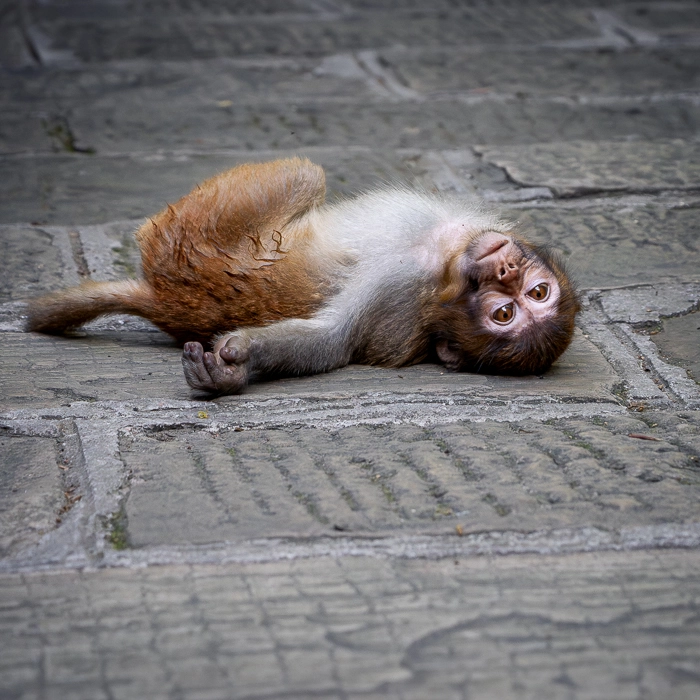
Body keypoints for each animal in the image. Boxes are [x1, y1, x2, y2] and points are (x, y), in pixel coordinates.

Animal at [26, 157, 580, 395]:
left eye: (505, 314)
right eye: (529, 295)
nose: (507, 268)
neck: (444, 269)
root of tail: (161, 300)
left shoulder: (401, 281)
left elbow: (330, 337)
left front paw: (240, 362)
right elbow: (327, 340)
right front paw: (232, 373)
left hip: (192, 227)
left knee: (304, 174)